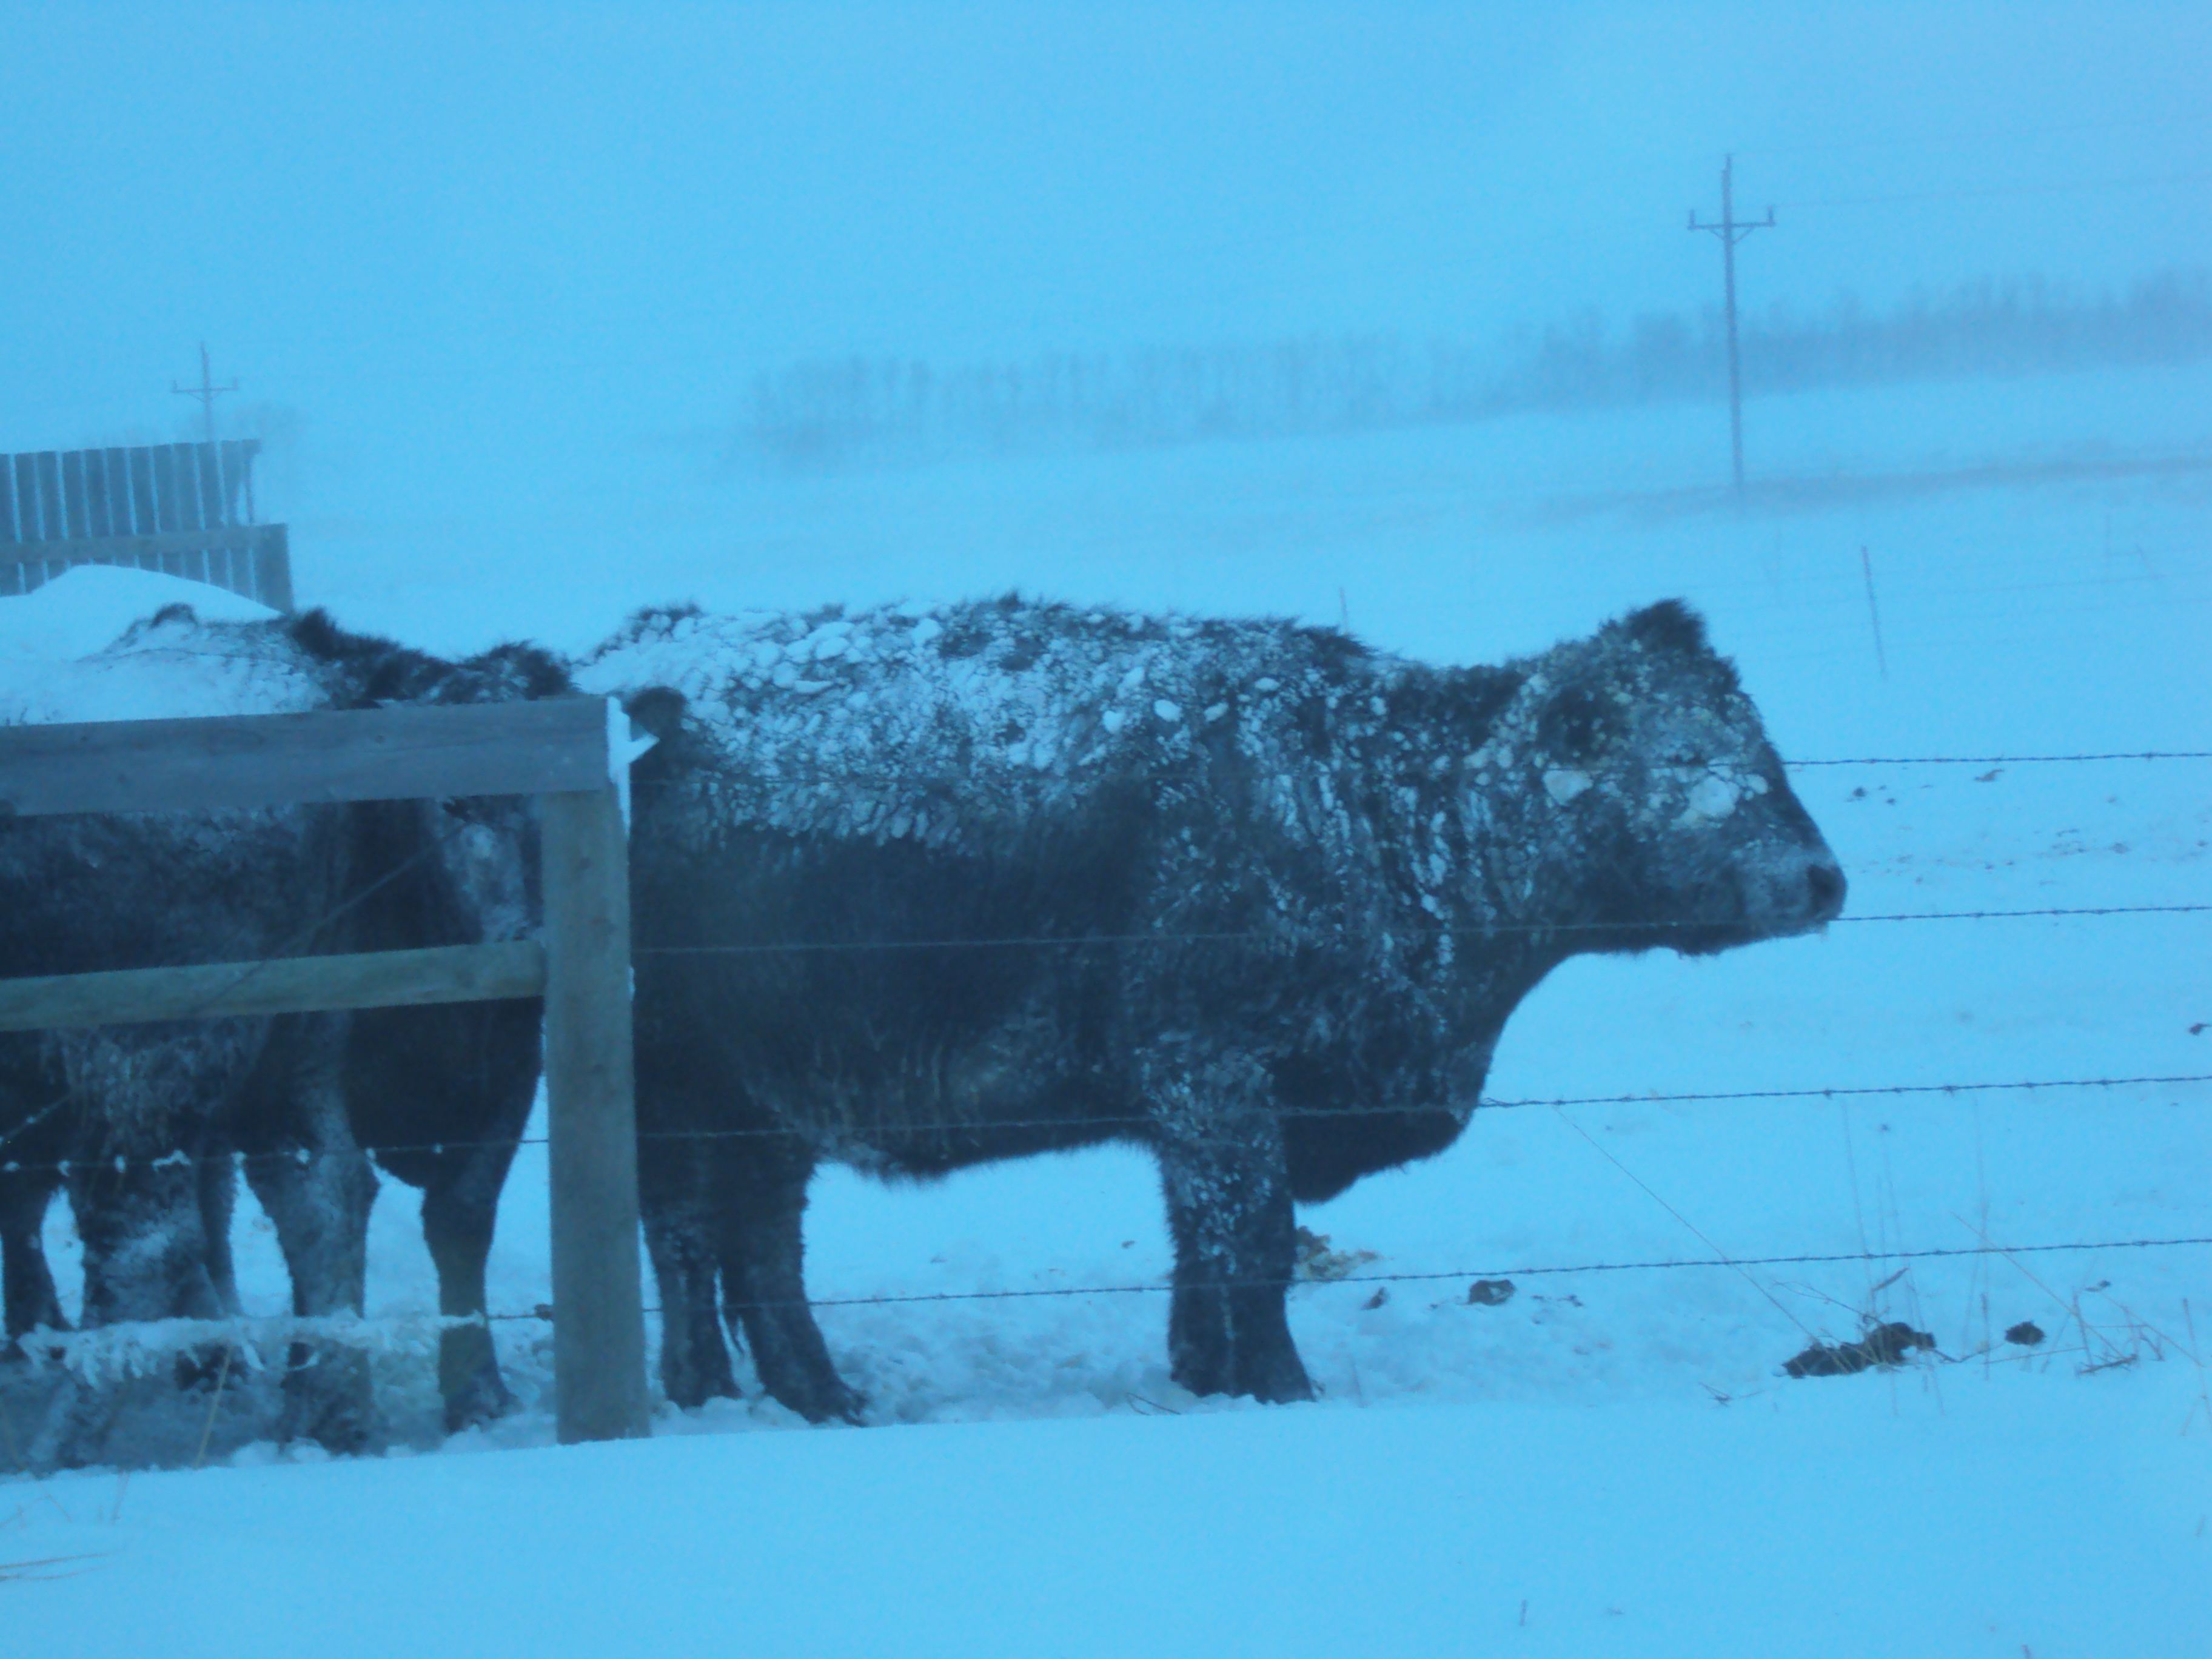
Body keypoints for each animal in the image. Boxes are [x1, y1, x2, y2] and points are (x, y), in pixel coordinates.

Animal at [0, 610, 561, 1469]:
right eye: (455, 804)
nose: (528, 936)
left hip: (141, 1063)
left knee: (145, 1242)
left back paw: (65, 1444)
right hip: (275, 1054)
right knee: (319, 1196)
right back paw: (323, 1412)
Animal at [588, 592, 1849, 1424]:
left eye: (1763, 742)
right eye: (1687, 754)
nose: (1821, 877)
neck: (1367, 801)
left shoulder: (1209, 1110)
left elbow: (1201, 1246)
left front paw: (1204, 1371)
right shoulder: (1216, 1079)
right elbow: (1254, 1242)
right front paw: (1283, 1386)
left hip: (754, 1105)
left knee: (740, 1242)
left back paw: (789, 1391)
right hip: (700, 1087)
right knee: (707, 1239)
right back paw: (754, 1390)